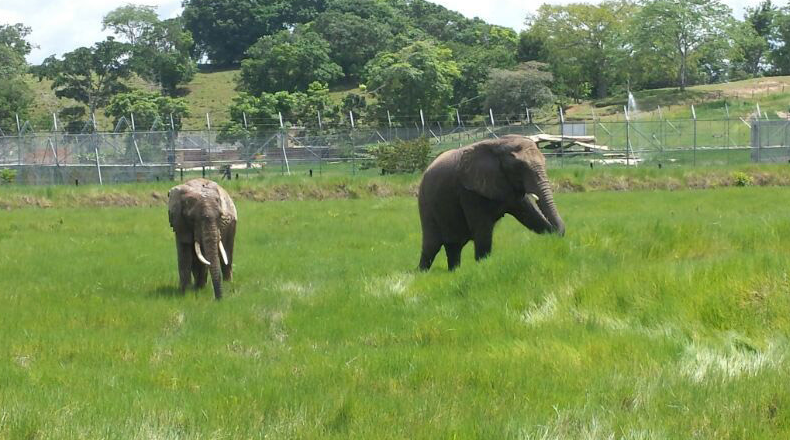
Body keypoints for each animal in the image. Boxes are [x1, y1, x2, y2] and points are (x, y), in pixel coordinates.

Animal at [420, 136, 564, 270]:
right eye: (518, 167)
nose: (557, 237)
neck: (498, 143)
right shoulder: (468, 190)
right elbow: (482, 230)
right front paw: (483, 267)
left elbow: (531, 217)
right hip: (426, 203)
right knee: (431, 246)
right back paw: (422, 273)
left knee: (454, 247)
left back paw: (454, 272)